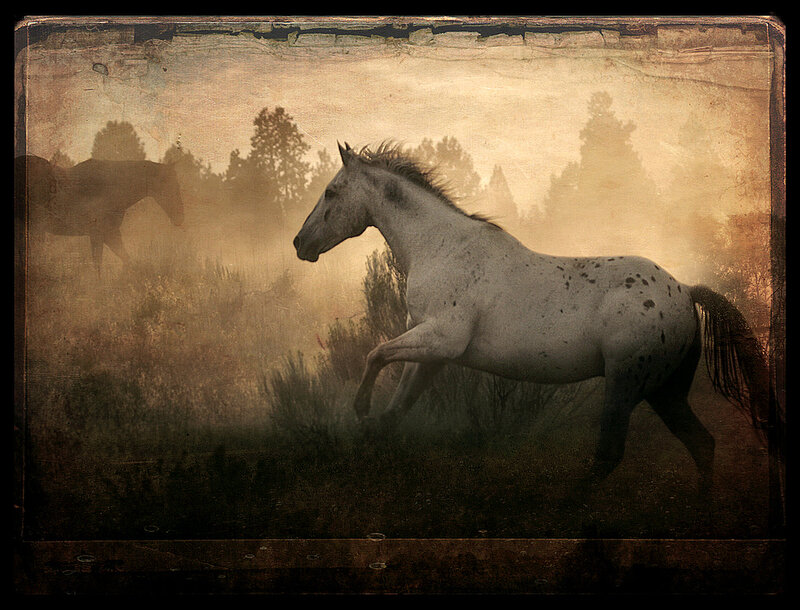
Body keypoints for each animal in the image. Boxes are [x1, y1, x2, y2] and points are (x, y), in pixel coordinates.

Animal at [15, 155, 184, 273]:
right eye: (171, 185)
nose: (180, 217)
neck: (112, 188)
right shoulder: (98, 233)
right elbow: (98, 264)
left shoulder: (110, 233)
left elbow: (126, 259)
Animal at [293, 141, 773, 496]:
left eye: (332, 192)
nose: (300, 243)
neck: (441, 247)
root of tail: (686, 292)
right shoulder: (432, 352)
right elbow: (396, 408)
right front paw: (371, 436)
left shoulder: (442, 338)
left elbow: (375, 354)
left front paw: (359, 408)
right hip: (665, 391)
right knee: (701, 443)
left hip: (625, 383)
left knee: (610, 453)